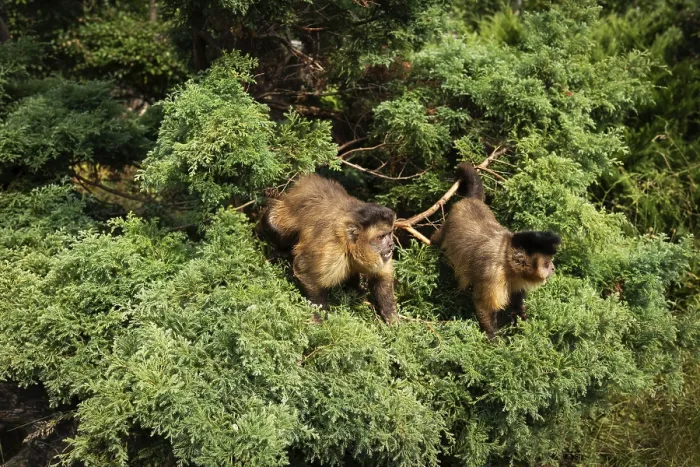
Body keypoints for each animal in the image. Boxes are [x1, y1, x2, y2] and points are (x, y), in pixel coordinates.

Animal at [262, 173, 399, 324]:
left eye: (390, 234)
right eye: (380, 237)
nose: (391, 244)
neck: (348, 245)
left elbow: (381, 277)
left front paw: (390, 315)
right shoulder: (332, 250)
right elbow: (305, 271)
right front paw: (318, 318)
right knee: (276, 226)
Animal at [431, 162, 560, 339]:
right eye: (546, 264)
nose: (553, 268)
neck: (506, 261)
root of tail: (470, 201)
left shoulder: (516, 278)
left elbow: (516, 301)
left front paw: (522, 320)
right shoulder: (493, 273)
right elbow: (484, 306)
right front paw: (494, 340)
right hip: (448, 224)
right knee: (438, 240)